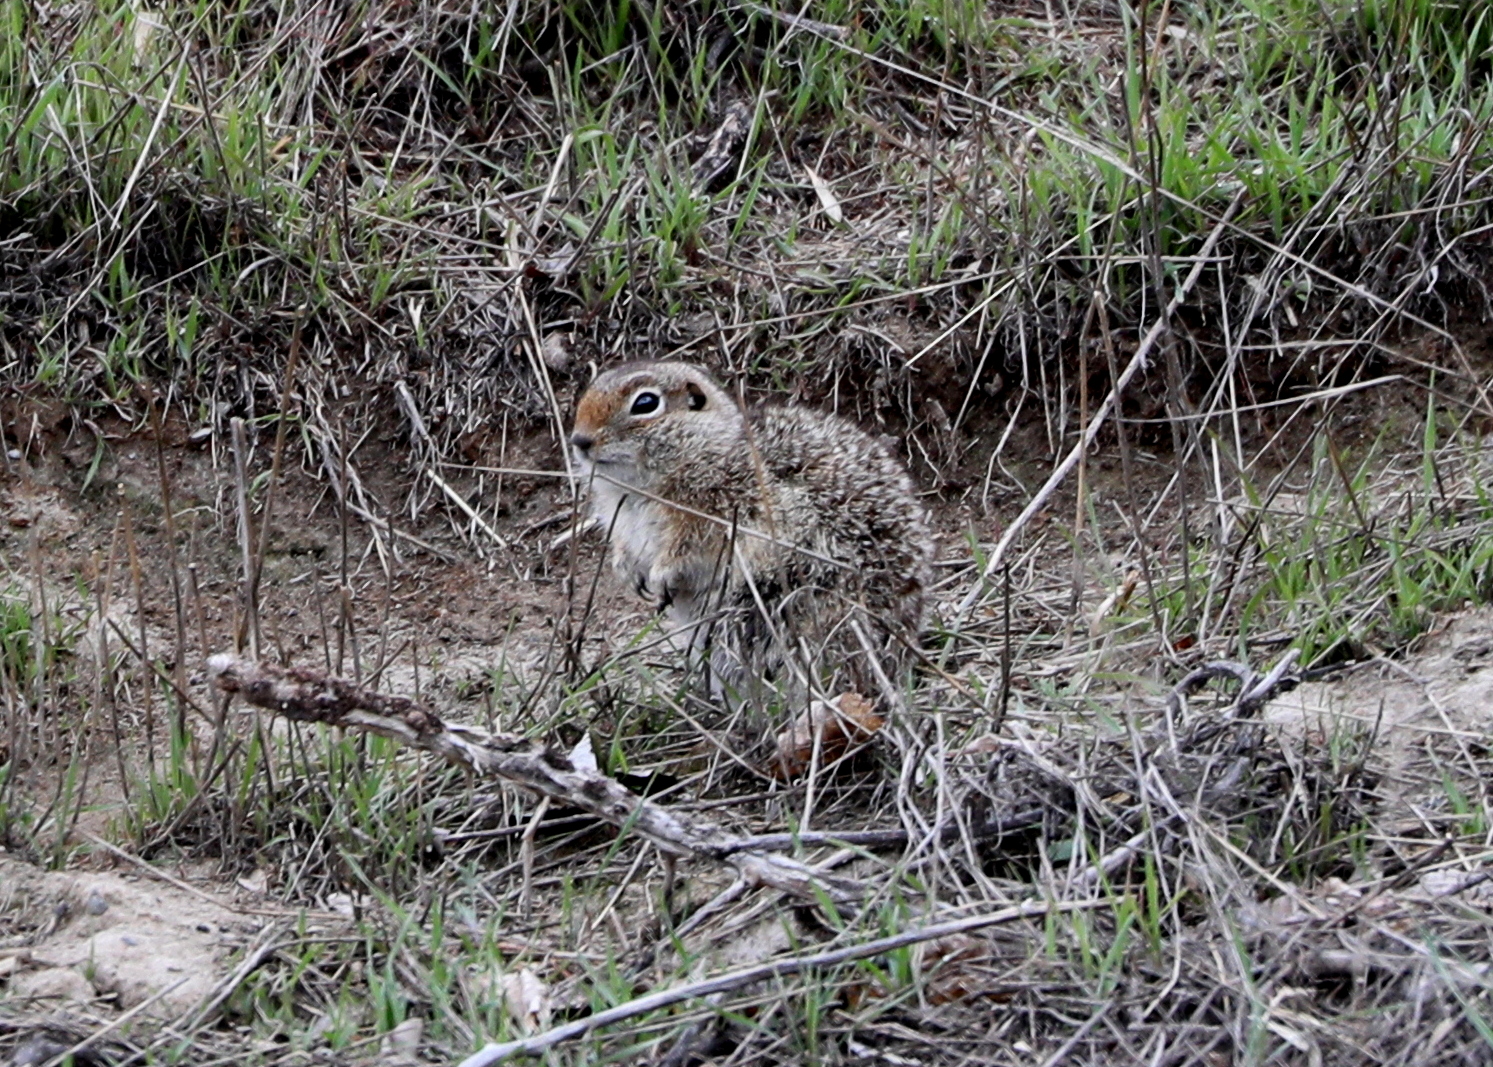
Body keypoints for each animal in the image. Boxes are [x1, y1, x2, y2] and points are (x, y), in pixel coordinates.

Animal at [569, 360, 934, 705]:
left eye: (645, 403)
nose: (579, 441)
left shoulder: (713, 517)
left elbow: (685, 553)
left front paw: (661, 578)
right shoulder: (622, 525)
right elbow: (624, 549)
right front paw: (628, 574)